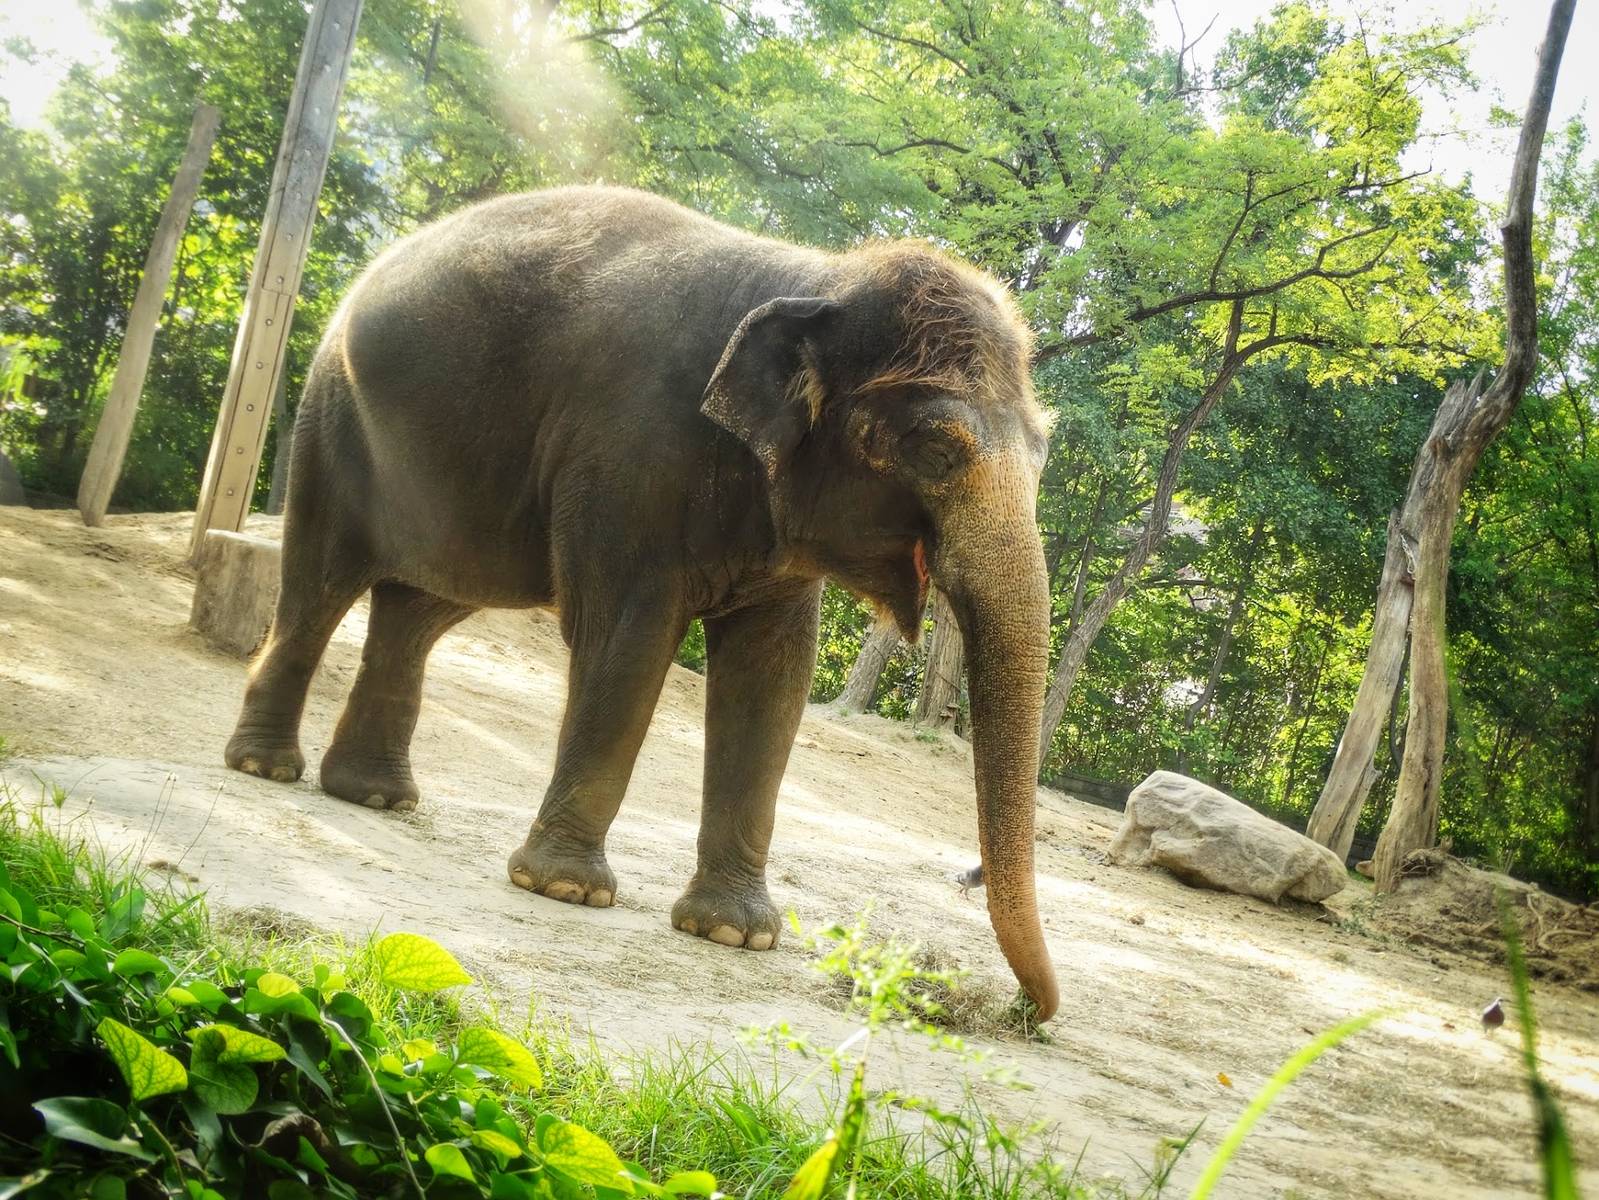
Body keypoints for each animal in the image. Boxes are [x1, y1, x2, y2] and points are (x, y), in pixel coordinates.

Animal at [223, 186, 1059, 1020]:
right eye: (936, 451)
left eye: (1044, 451)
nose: (1023, 1012)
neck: (821, 276)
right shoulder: (627, 453)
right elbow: (626, 638)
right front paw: (565, 889)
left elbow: (772, 677)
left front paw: (734, 934)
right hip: (331, 419)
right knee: (320, 585)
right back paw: (266, 768)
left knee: (417, 608)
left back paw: (374, 797)